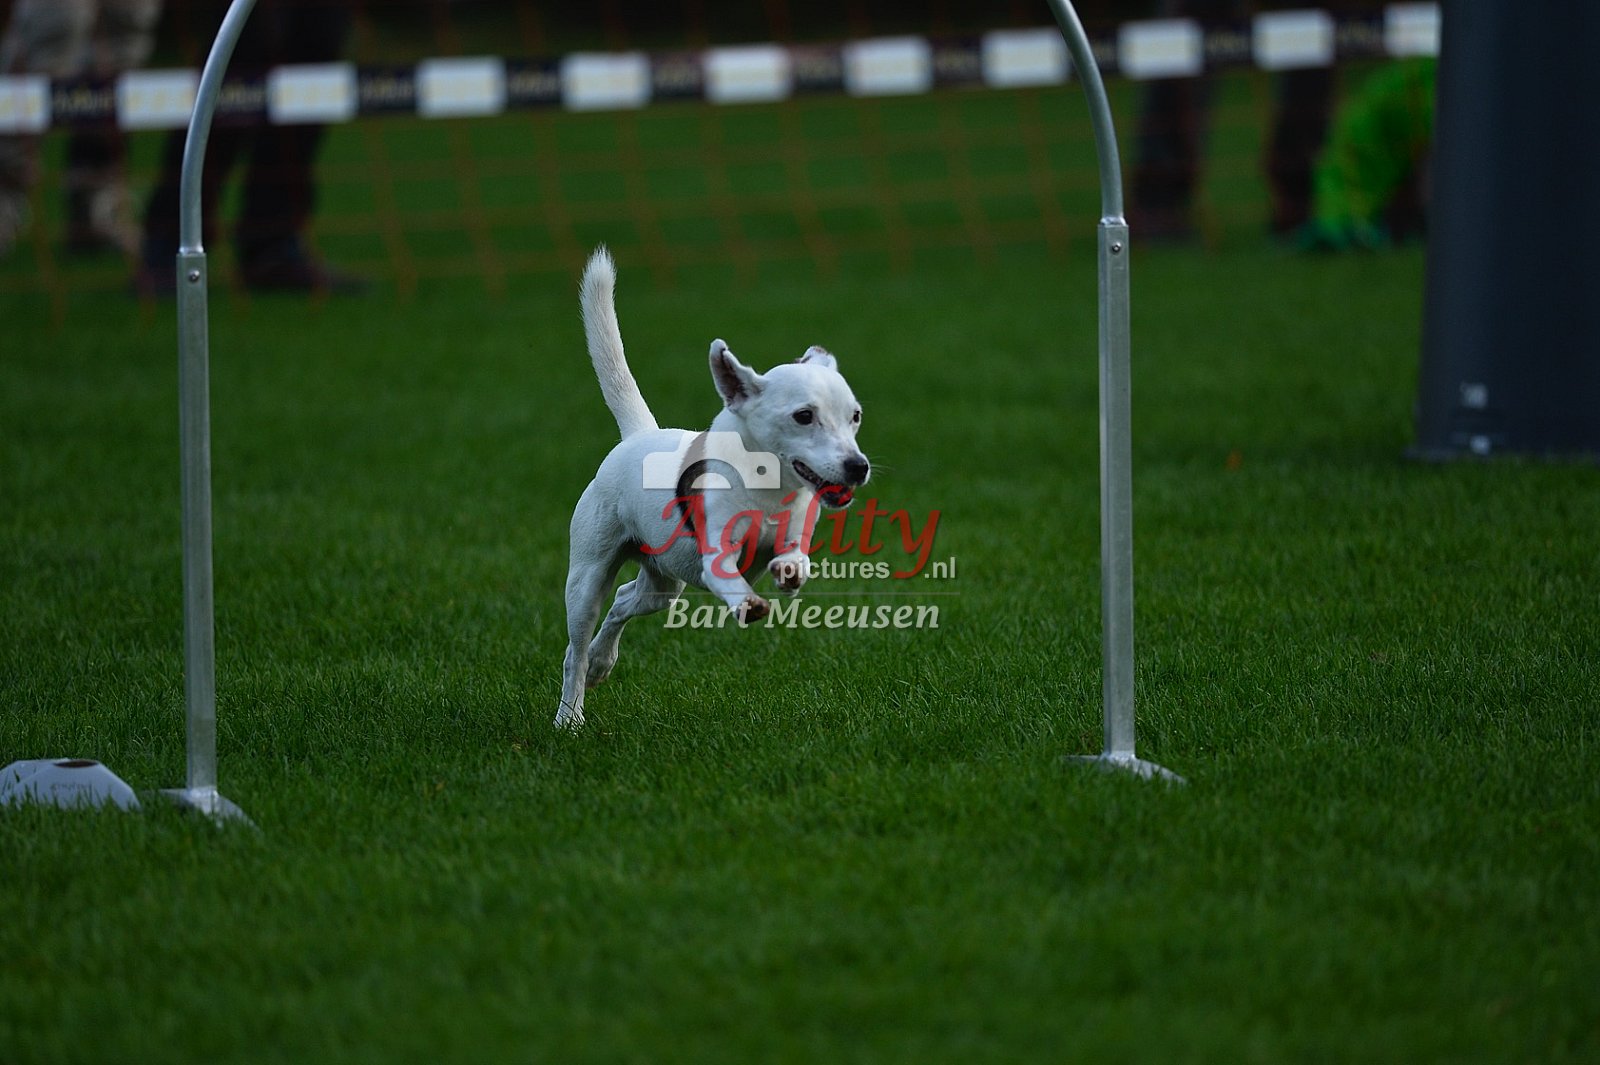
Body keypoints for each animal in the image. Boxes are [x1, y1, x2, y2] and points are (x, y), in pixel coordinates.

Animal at [556, 247, 870, 728]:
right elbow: (730, 576)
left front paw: (787, 572)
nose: (858, 467)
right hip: (588, 579)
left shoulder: (795, 532)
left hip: (663, 587)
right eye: (803, 416)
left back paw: (602, 662)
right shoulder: (716, 555)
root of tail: (639, 435)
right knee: (576, 648)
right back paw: (569, 716)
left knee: (625, 602)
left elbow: (794, 559)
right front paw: (747, 602)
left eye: (855, 417)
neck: (767, 486)